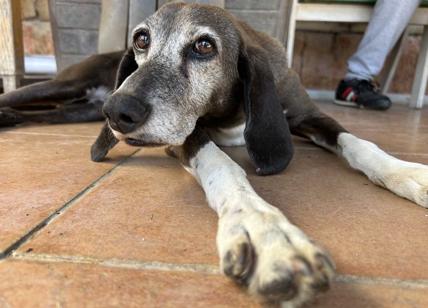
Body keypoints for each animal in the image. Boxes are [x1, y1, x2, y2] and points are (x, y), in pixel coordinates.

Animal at [2, 1, 428, 306]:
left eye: (204, 46)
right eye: (141, 39)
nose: (119, 111)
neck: (234, 110)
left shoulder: (309, 115)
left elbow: (357, 143)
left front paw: (409, 173)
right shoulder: (186, 134)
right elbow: (222, 166)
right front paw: (263, 228)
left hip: (80, 109)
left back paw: (12, 119)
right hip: (62, 88)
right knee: (17, 96)